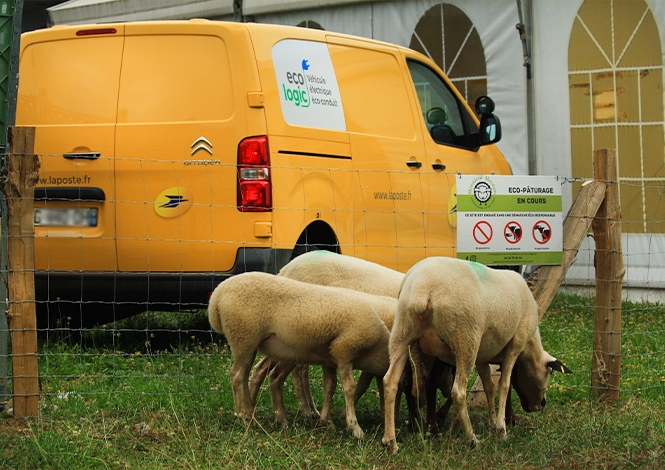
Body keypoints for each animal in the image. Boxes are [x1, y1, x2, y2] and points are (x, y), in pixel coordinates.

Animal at [208, 270, 394, 438]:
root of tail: (217, 296)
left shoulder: (330, 358)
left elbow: (331, 385)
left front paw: (327, 421)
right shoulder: (344, 351)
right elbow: (350, 387)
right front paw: (354, 427)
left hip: (253, 343)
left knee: (247, 374)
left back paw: (252, 412)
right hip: (244, 337)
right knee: (237, 375)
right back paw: (244, 416)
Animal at [378, 255, 572, 454]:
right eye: (549, 373)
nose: (542, 404)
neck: (530, 346)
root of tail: (422, 288)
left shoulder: (483, 357)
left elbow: (489, 387)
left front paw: (493, 422)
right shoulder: (516, 343)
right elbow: (504, 385)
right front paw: (501, 429)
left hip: (402, 333)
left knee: (390, 381)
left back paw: (390, 441)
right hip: (465, 339)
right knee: (458, 391)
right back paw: (471, 439)